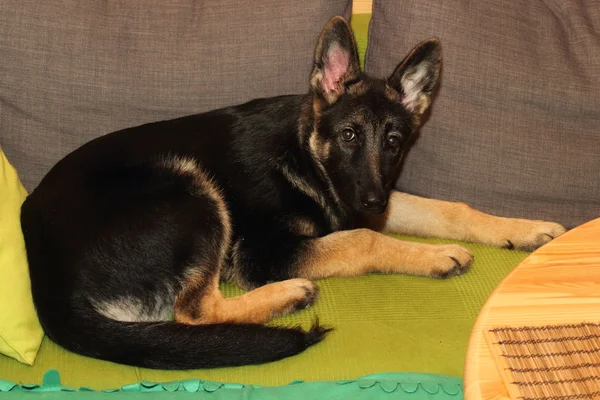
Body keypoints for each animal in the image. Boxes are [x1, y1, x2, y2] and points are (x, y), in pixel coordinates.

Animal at [19, 17, 568, 370]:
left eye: (393, 142)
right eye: (348, 135)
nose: (372, 203)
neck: (304, 154)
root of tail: (45, 279)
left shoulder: (366, 199)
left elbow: (448, 209)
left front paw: (526, 230)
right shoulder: (266, 251)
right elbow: (364, 241)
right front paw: (435, 256)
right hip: (193, 191)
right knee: (193, 310)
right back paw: (287, 296)